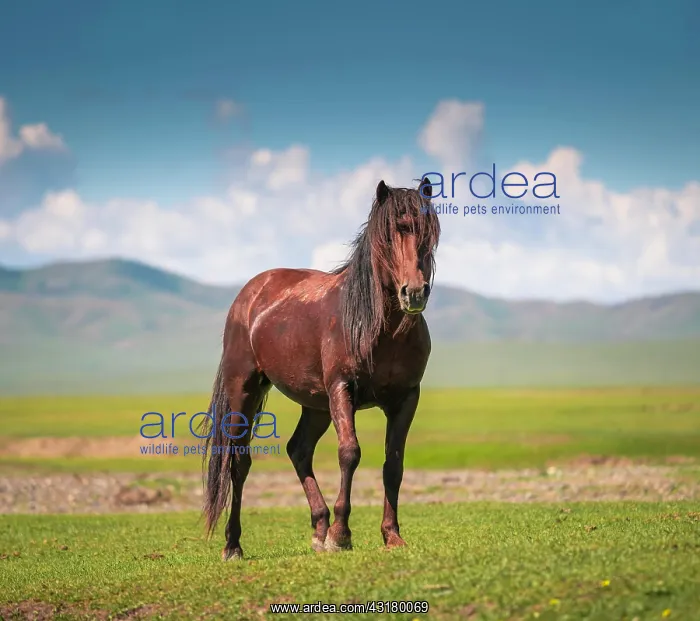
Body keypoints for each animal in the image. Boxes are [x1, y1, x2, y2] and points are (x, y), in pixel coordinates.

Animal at [202, 177, 440, 560]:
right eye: (389, 236)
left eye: (428, 234)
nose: (414, 293)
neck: (378, 328)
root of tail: (250, 294)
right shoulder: (342, 389)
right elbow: (349, 453)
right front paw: (341, 535)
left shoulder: (406, 398)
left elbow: (394, 463)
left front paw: (391, 535)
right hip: (245, 390)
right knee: (238, 463)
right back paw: (233, 545)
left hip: (315, 404)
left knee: (298, 450)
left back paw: (318, 528)